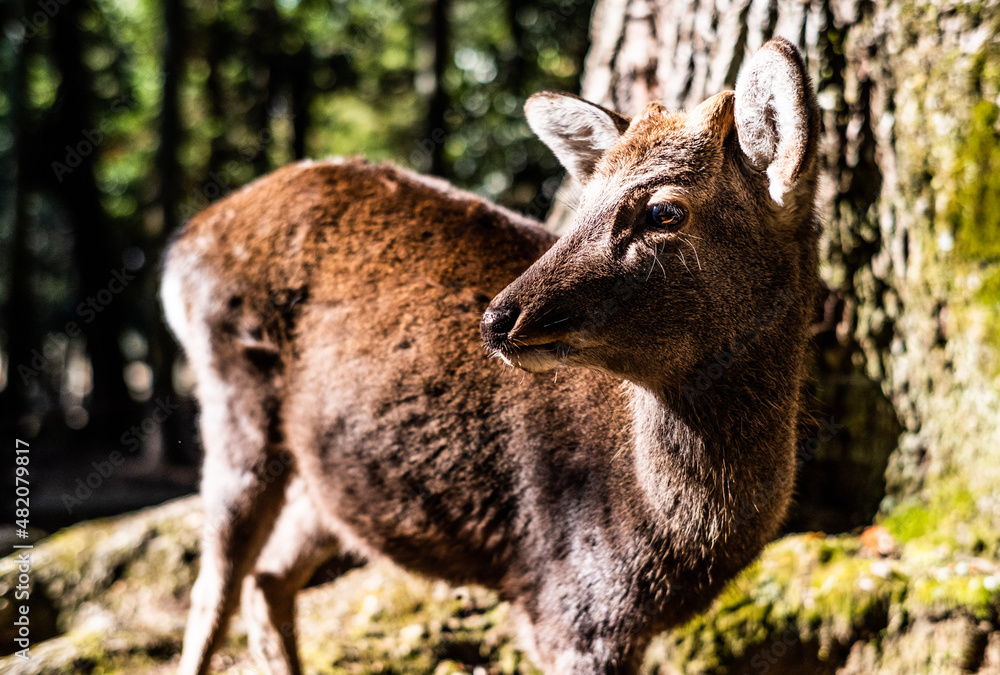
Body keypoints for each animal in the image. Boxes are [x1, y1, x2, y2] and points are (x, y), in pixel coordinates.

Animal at [161, 37, 820, 675]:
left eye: (664, 210)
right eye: (581, 206)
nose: (498, 319)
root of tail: (184, 239)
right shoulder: (570, 606)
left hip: (327, 468)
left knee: (269, 577)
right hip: (230, 399)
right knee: (213, 588)